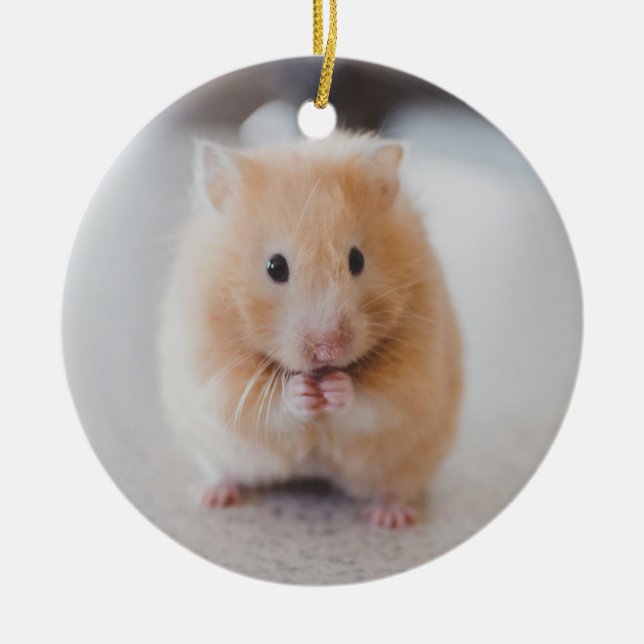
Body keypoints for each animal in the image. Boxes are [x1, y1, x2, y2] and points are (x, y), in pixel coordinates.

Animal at [157, 131, 461, 528]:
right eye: (275, 267)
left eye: (357, 260)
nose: (328, 350)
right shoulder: (214, 374)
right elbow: (264, 405)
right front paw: (302, 392)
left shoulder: (414, 378)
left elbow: (375, 403)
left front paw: (335, 389)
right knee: (225, 472)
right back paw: (210, 496)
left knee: (392, 487)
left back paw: (390, 518)